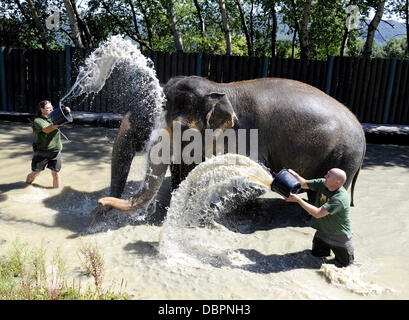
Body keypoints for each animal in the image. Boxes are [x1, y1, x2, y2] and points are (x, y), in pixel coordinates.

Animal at [88, 76, 364, 224]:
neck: (220, 88)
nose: (97, 208)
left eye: (179, 127)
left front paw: (196, 215)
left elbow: (250, 180)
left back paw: (307, 220)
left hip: (344, 157)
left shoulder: (245, 135)